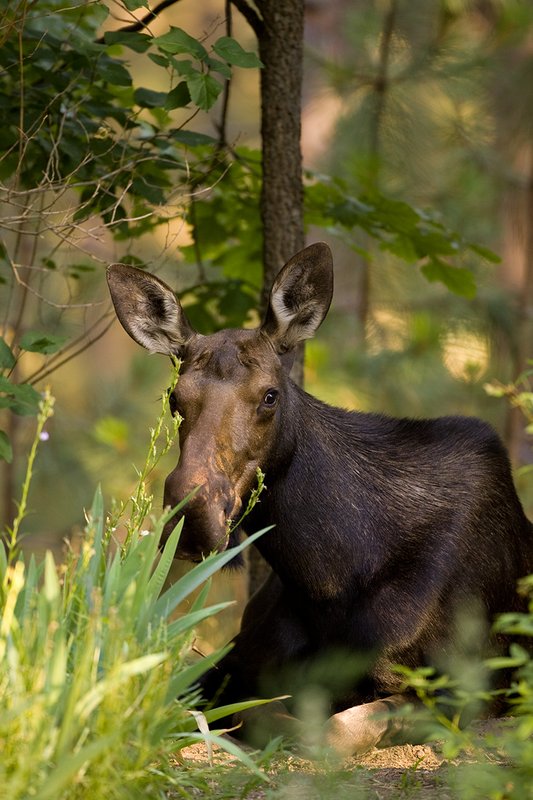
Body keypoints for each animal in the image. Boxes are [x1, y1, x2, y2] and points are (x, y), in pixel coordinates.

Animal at [107, 242, 533, 756]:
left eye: (270, 396)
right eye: (174, 399)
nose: (194, 513)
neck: (325, 582)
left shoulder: (461, 690)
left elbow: (322, 728)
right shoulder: (238, 658)